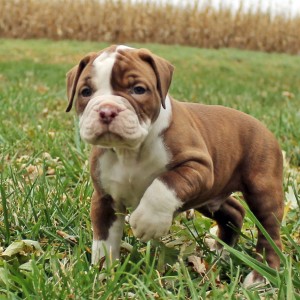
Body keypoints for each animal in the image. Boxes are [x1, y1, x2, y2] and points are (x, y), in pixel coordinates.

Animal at [65, 45, 284, 288]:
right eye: (85, 92)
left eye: (138, 89)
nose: (107, 110)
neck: (129, 151)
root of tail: (264, 127)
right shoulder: (105, 200)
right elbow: (104, 243)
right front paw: (101, 276)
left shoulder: (199, 167)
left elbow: (165, 183)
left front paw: (147, 220)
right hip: (210, 194)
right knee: (234, 212)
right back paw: (220, 252)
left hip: (261, 188)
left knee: (270, 231)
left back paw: (261, 276)